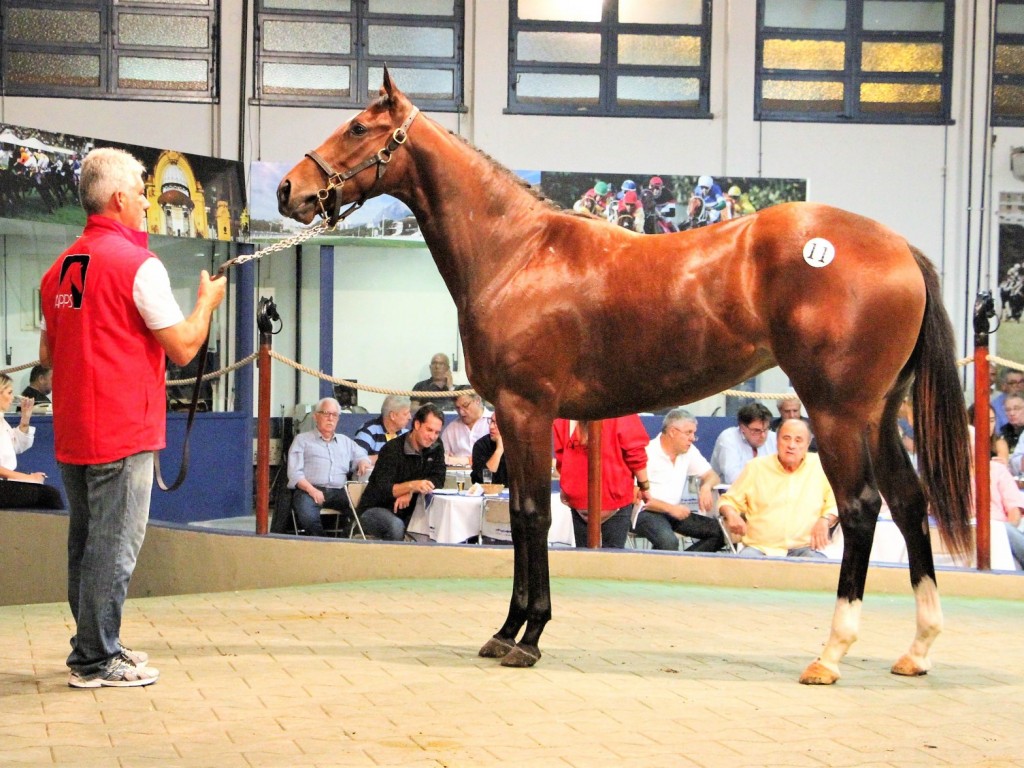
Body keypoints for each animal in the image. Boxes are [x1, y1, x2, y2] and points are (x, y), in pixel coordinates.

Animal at [276, 72, 970, 684]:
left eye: (358, 126)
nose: (288, 189)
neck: (516, 252)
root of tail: (900, 248)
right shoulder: (515, 415)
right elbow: (523, 513)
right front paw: (507, 631)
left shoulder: (527, 409)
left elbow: (532, 514)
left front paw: (527, 636)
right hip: (880, 415)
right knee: (910, 504)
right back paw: (919, 649)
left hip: (839, 412)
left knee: (861, 510)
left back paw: (831, 654)